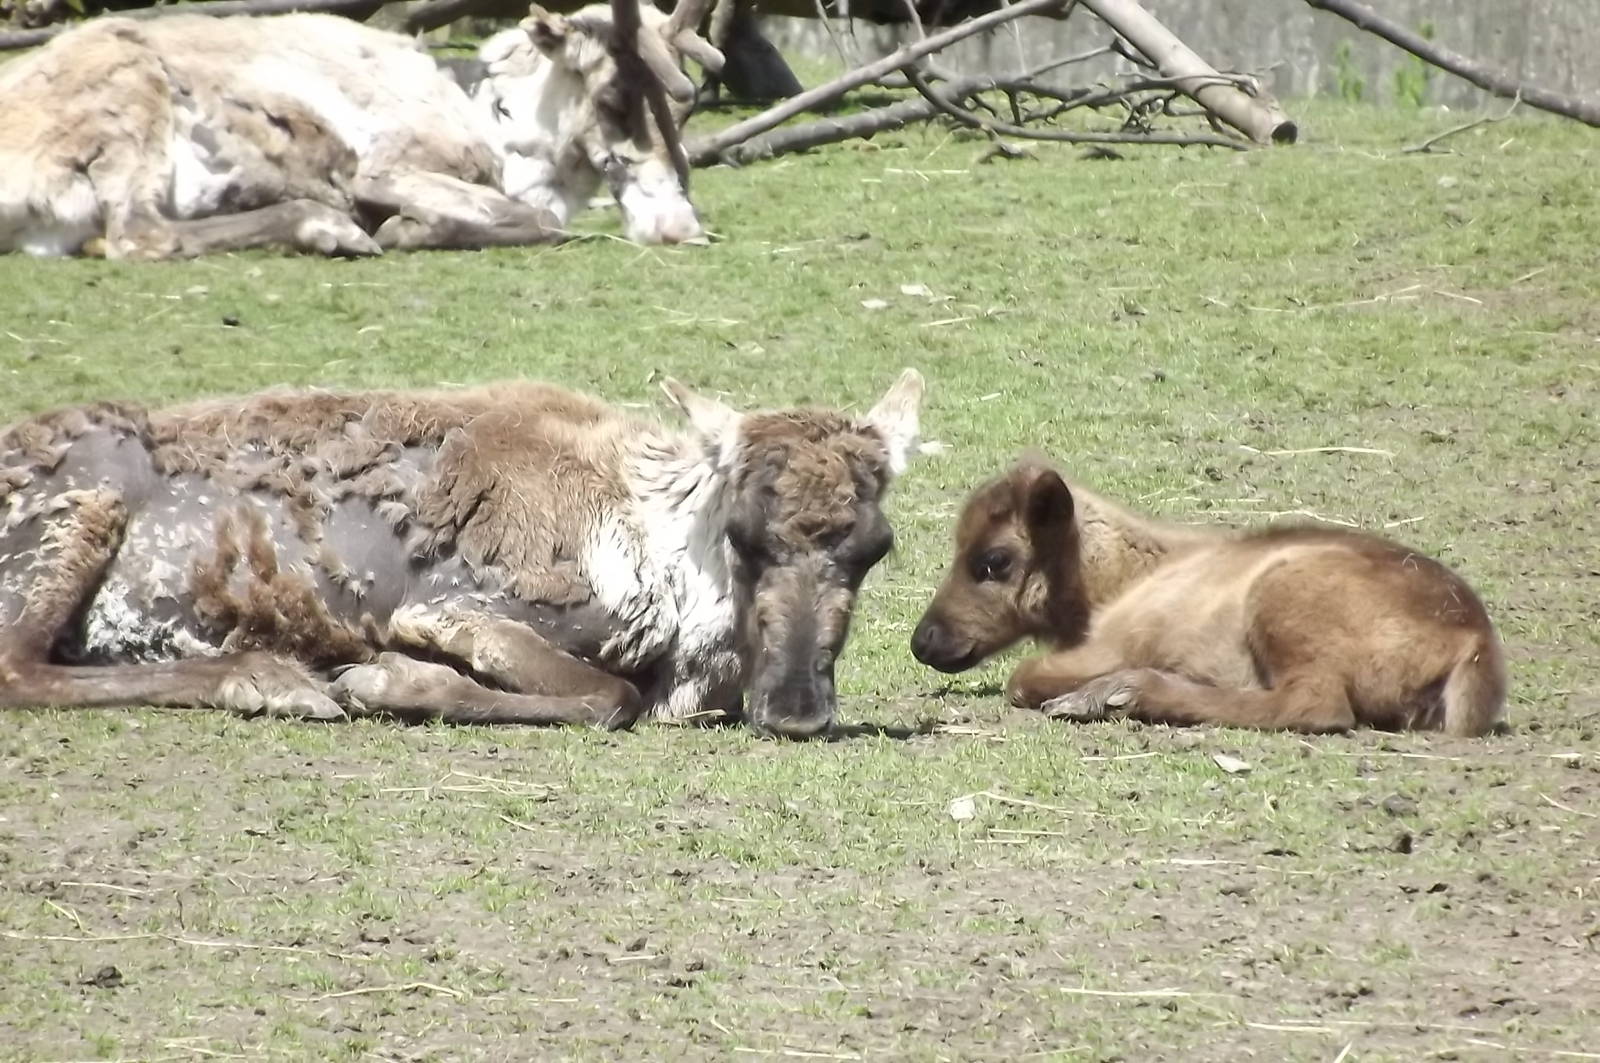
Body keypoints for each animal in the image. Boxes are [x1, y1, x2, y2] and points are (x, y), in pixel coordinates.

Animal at [0, 0, 725, 258]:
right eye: (615, 94)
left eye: (681, 96)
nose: (680, 224)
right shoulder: (387, 165)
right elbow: (538, 219)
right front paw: (406, 227)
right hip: (131, 101)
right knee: (137, 234)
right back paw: (332, 228)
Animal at [0, 370, 926, 738]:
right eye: (743, 533)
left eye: (876, 545)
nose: (799, 707)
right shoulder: (449, 606)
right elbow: (606, 694)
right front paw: (384, 679)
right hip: (84, 502)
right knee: (19, 666)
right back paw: (270, 679)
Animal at [910, 458, 1506, 736]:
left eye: (994, 560)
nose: (925, 640)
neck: (1124, 574)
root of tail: (1473, 635)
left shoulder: (1109, 645)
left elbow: (1024, 677)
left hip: (1281, 602)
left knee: (1317, 705)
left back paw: (1118, 696)